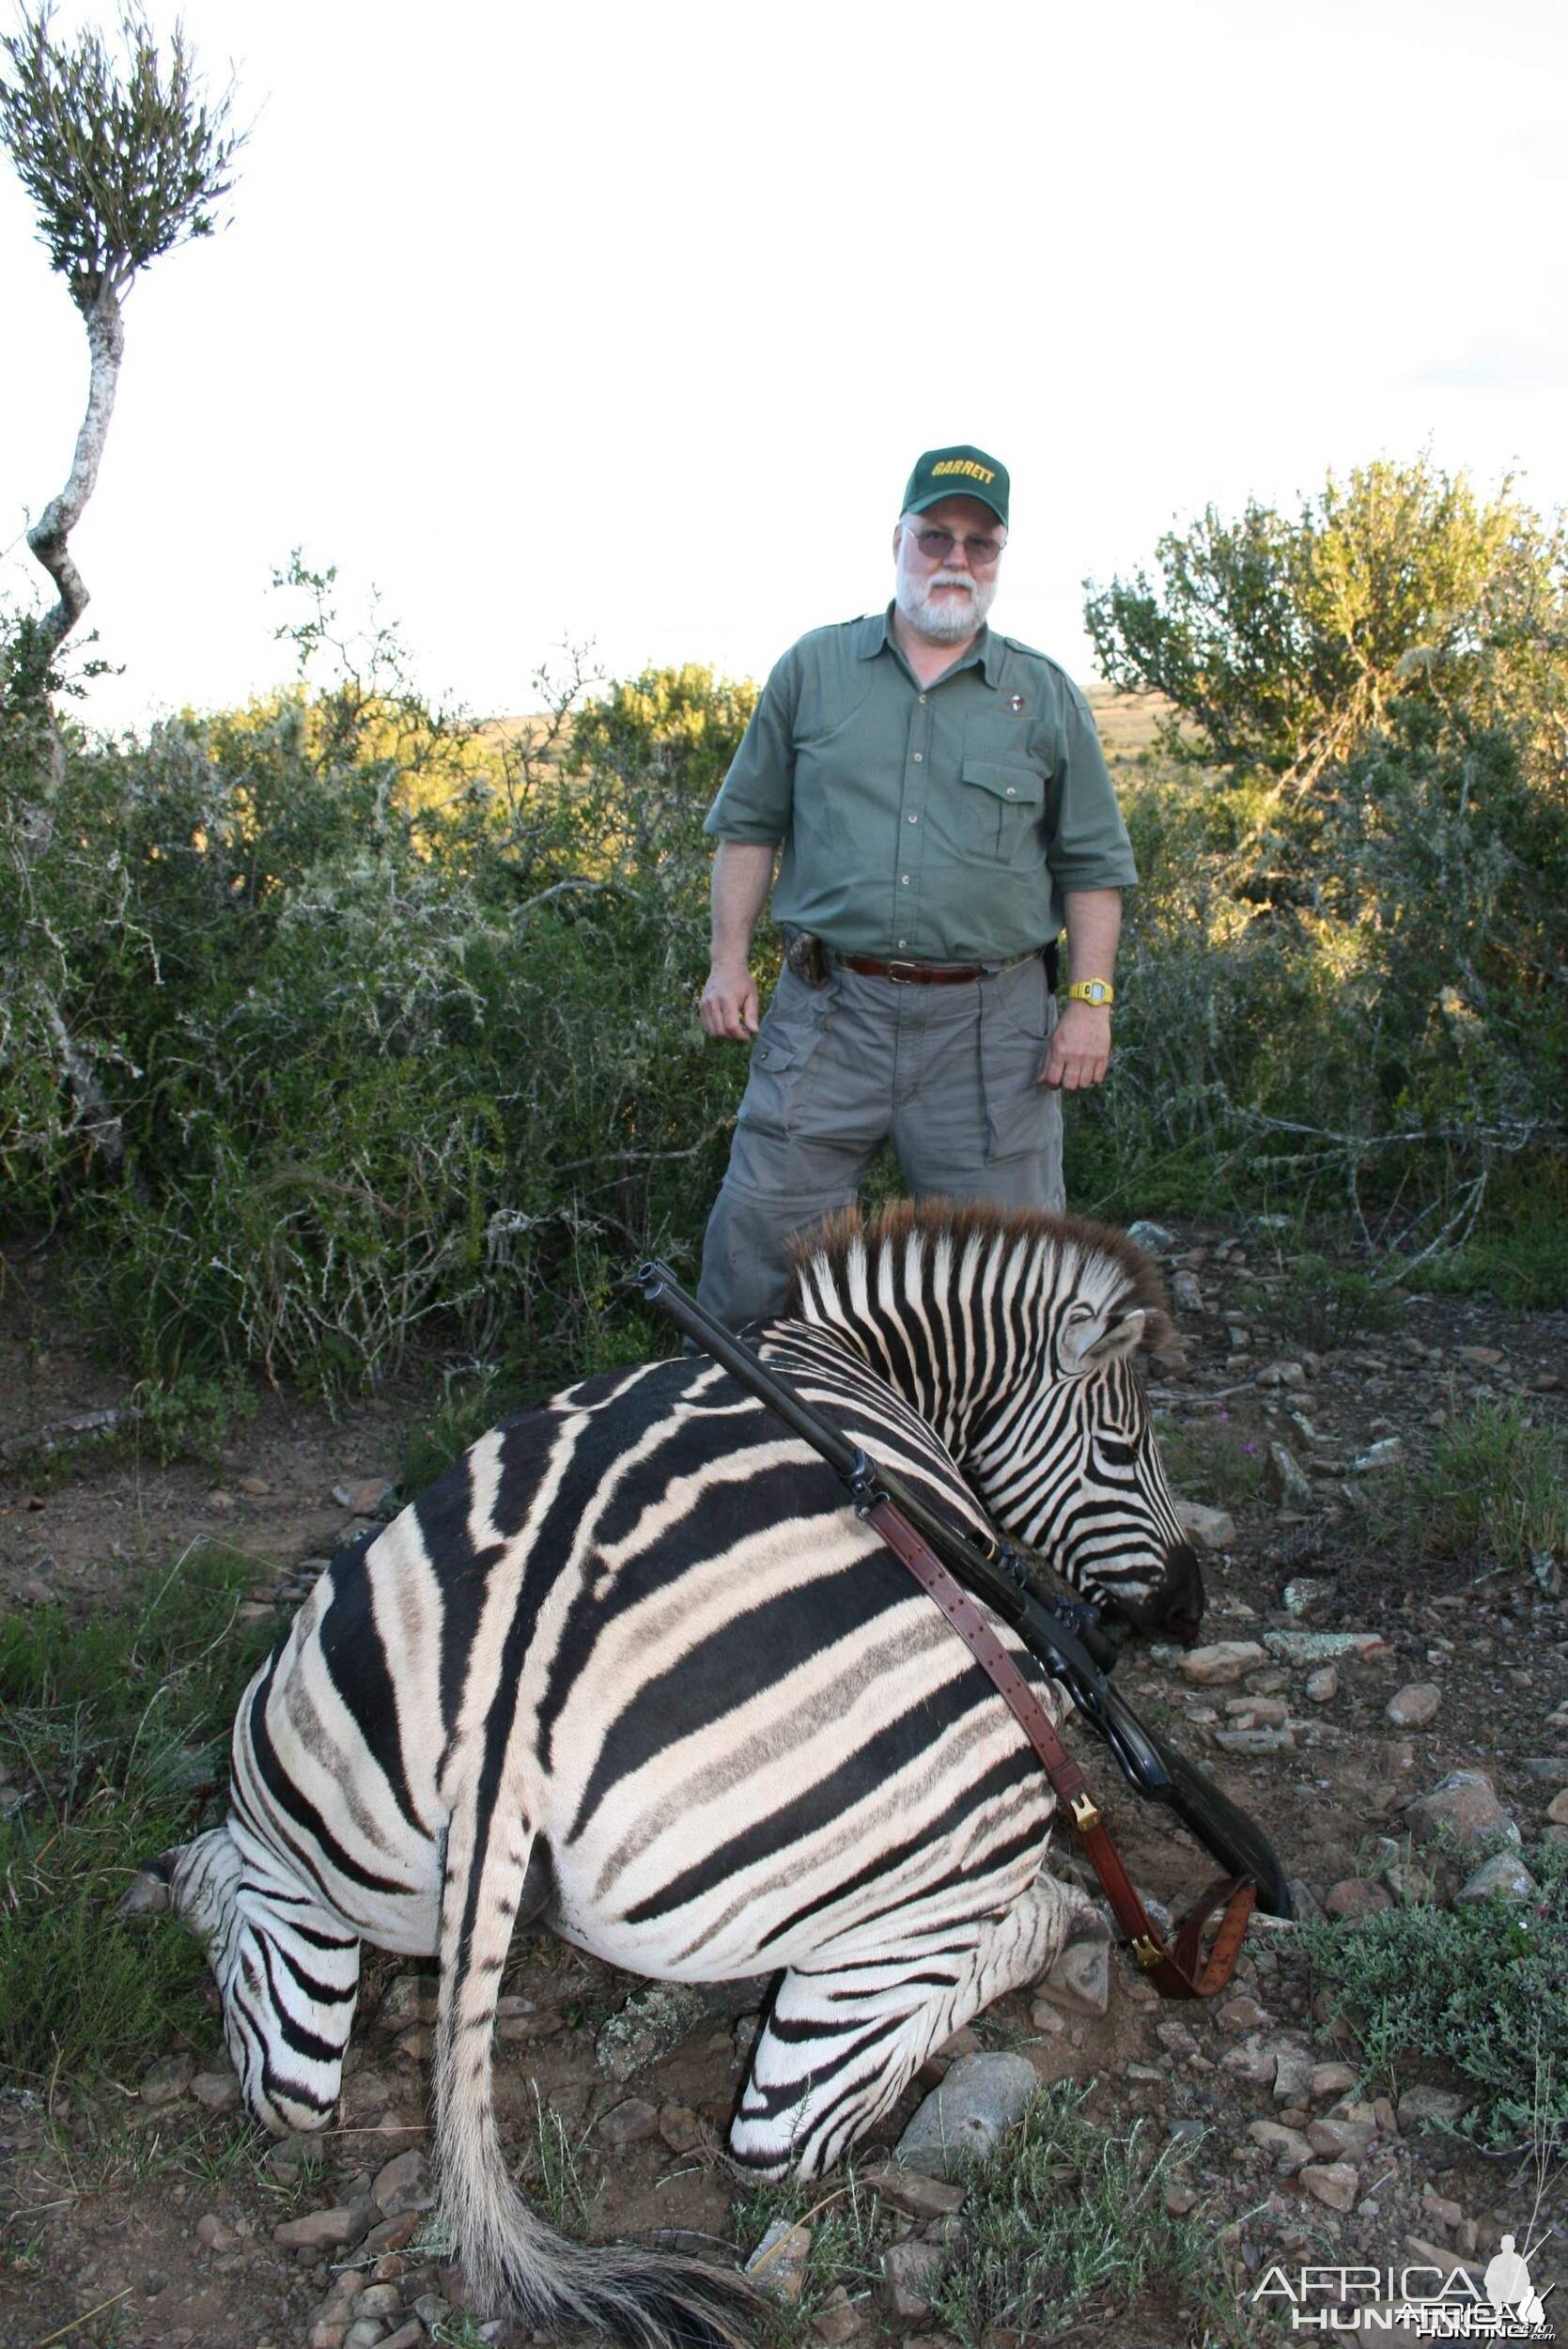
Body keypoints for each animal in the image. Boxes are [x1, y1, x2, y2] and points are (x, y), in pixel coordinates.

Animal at [122, 1203, 1202, 2340]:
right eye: (1124, 1447)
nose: (1190, 1607)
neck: (846, 1351)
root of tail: (503, 1738)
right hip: (938, 1875)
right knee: (792, 2125)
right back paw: (1070, 1916)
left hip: (301, 1789)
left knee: (284, 2057)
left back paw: (178, 1880)